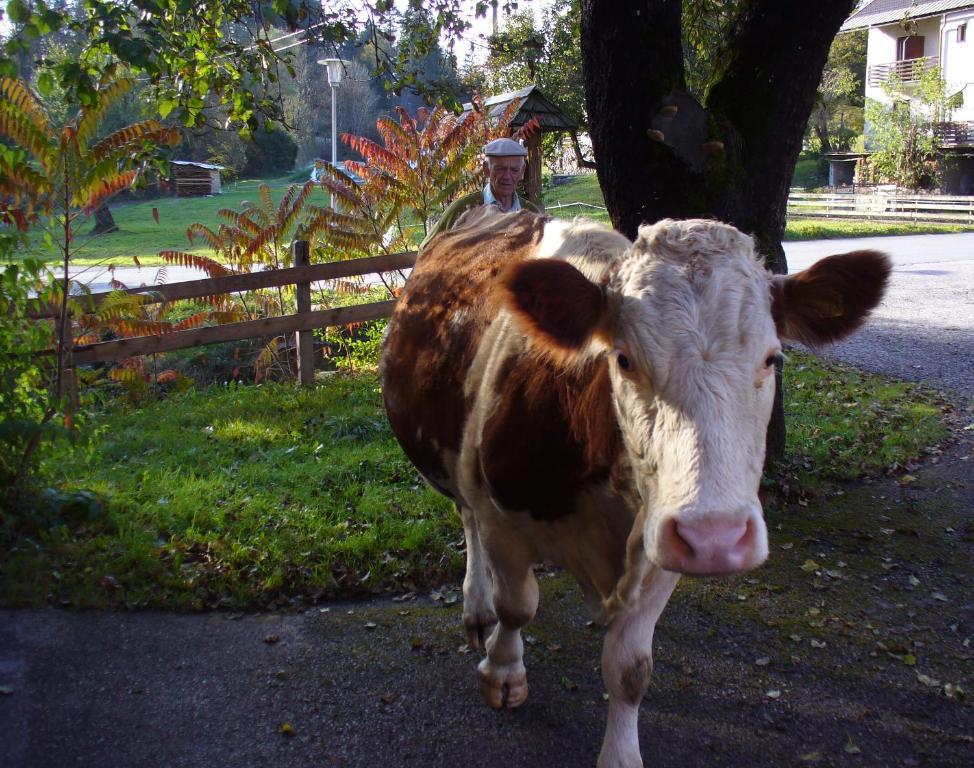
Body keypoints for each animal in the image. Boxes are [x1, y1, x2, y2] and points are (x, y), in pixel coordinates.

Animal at [384, 207, 892, 764]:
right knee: (467, 517)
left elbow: (630, 669)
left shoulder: (660, 545)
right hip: (458, 465)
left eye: (773, 359)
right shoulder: (503, 518)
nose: (715, 538)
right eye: (623, 359)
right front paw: (502, 673)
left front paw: (621, 752)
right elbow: (515, 605)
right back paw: (476, 609)